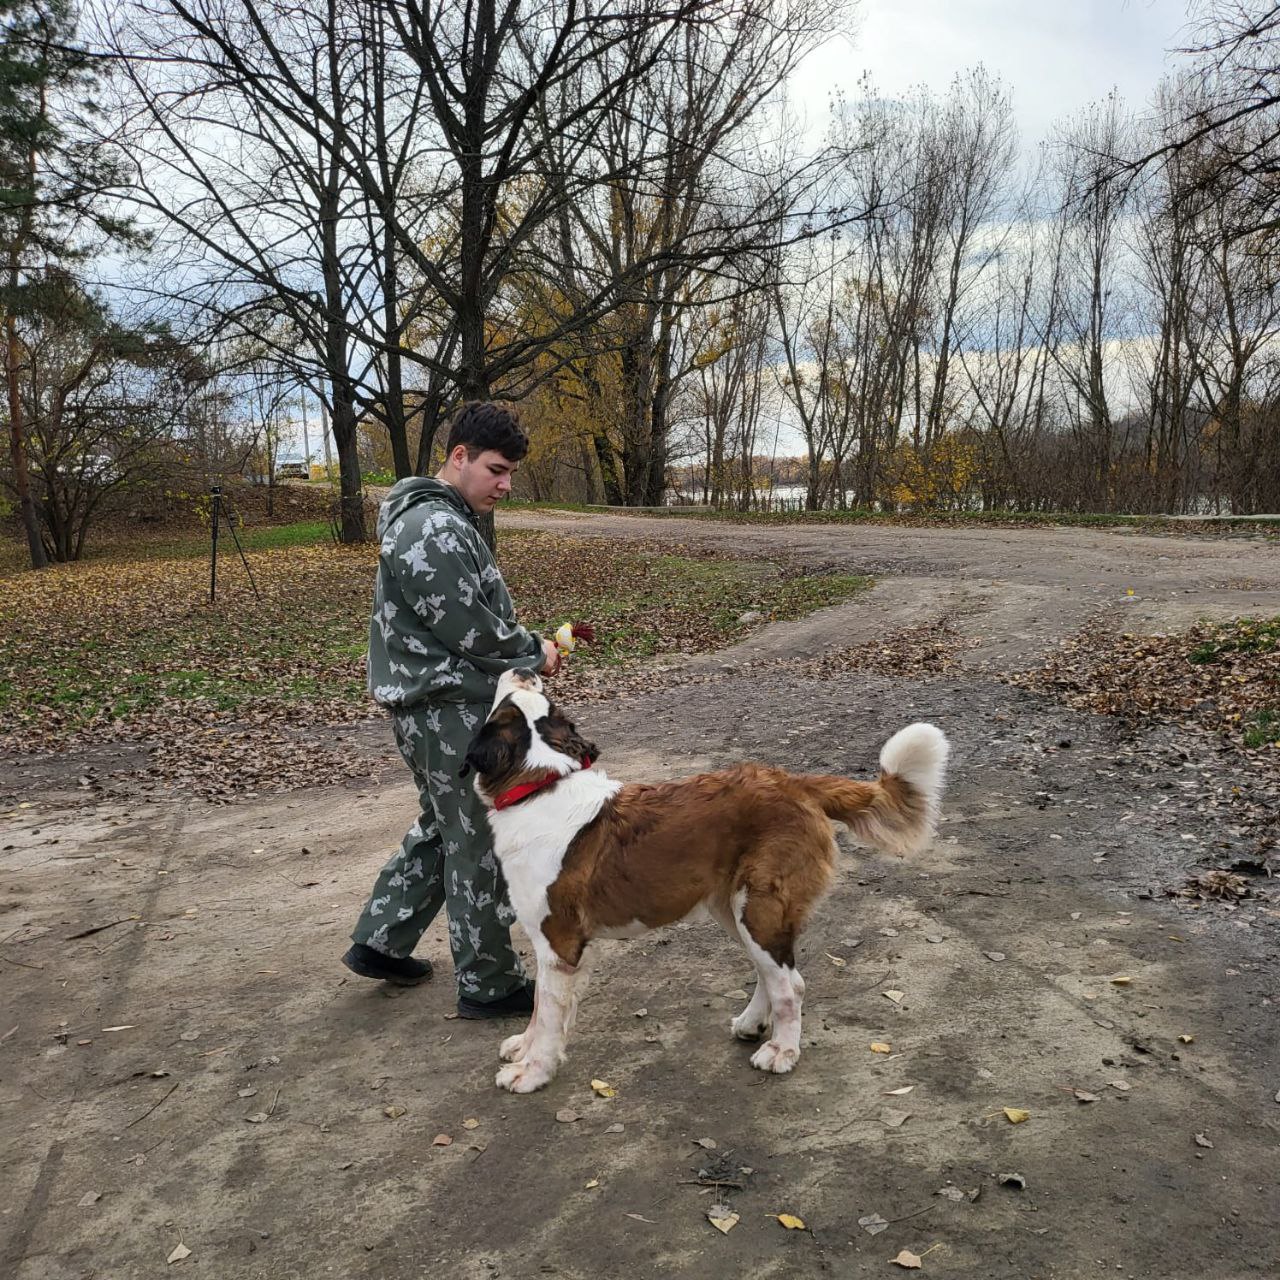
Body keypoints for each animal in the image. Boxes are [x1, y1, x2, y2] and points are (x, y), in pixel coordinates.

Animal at [463, 665, 952, 1095]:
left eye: (506, 703)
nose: (525, 669)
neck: (538, 785)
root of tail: (795, 783)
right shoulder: (549, 946)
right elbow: (540, 1009)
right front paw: (523, 1048)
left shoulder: (559, 944)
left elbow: (548, 1013)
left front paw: (533, 1071)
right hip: (735, 909)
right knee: (770, 972)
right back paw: (753, 1023)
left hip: (759, 908)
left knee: (790, 984)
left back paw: (782, 1051)